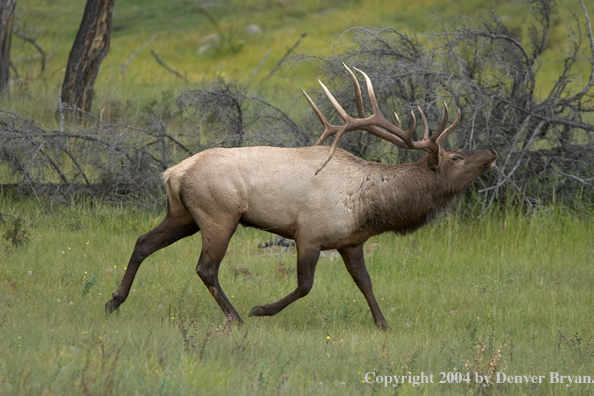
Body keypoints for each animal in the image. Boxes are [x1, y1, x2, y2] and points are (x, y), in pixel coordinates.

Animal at [104, 65, 492, 330]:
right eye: (456, 157)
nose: (490, 152)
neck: (369, 206)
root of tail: (172, 172)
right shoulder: (309, 234)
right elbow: (305, 285)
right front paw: (261, 309)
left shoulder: (351, 241)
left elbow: (365, 282)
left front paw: (384, 324)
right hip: (219, 215)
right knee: (206, 268)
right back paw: (236, 317)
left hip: (183, 215)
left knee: (143, 242)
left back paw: (114, 300)